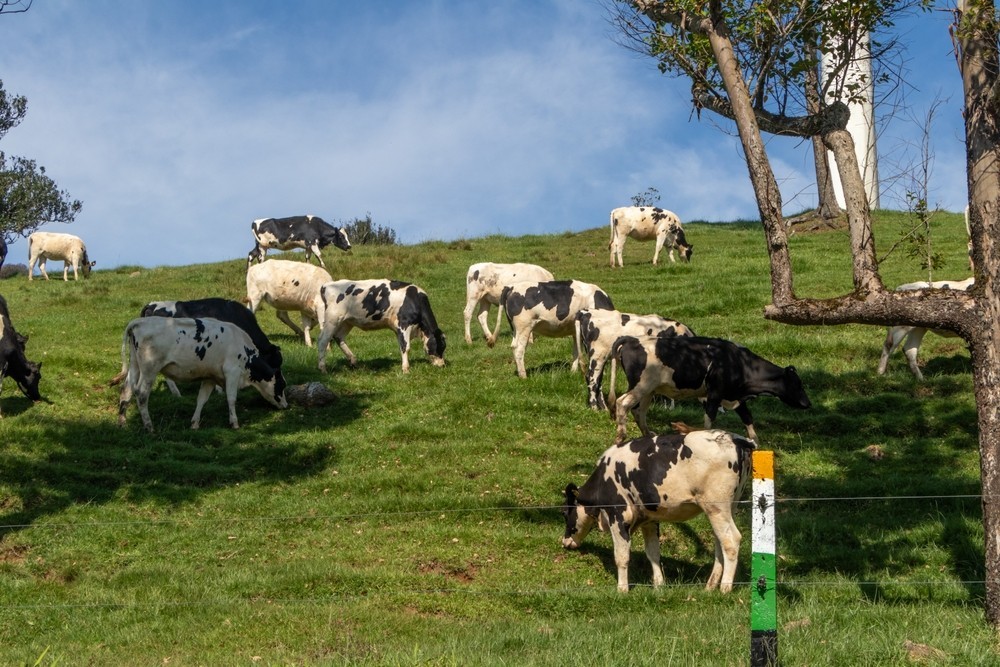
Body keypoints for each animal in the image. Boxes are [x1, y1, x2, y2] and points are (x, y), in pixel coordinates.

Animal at [116, 316, 287, 432]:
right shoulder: (232, 372)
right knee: (141, 394)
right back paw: (149, 426)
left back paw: (122, 423)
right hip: (149, 370)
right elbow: (231, 399)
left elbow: (201, 400)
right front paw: (234, 423)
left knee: (126, 391)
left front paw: (195, 423)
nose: (286, 405)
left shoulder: (210, 377)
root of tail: (139, 321)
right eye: (282, 384)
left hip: (134, 366)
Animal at [316, 279, 446, 373]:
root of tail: (326, 285)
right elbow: (406, 347)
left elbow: (401, 346)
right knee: (323, 340)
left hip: (347, 321)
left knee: (339, 337)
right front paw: (406, 369)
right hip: (332, 319)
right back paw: (322, 368)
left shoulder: (398, 329)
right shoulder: (404, 324)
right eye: (440, 346)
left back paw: (353, 361)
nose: (442, 365)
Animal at [562, 430, 753, 593]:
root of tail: (733, 437)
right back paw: (710, 586)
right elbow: (653, 552)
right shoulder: (649, 519)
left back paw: (725, 588)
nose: (564, 541)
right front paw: (659, 585)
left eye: (564, 513)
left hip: (716, 507)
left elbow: (621, 556)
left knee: (731, 541)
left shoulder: (617, 514)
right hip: (727, 508)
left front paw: (622, 589)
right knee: (720, 542)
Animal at [607, 334, 811, 443]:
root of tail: (632, 339)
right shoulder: (714, 394)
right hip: (640, 386)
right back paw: (620, 437)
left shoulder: (734, 396)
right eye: (798, 384)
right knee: (623, 403)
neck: (739, 362)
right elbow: (709, 421)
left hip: (649, 390)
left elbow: (748, 418)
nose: (808, 403)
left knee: (639, 411)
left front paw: (756, 442)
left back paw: (648, 435)